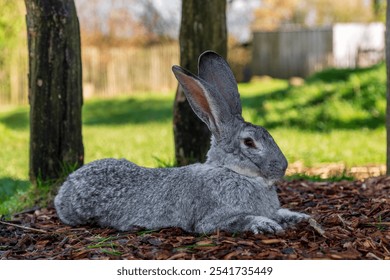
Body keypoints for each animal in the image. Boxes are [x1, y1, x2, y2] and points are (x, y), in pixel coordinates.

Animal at [55, 50, 310, 234]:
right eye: (249, 142)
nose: (283, 167)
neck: (233, 172)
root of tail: (68, 183)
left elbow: (281, 212)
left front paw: (300, 217)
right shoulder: (214, 219)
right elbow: (240, 220)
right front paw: (266, 225)